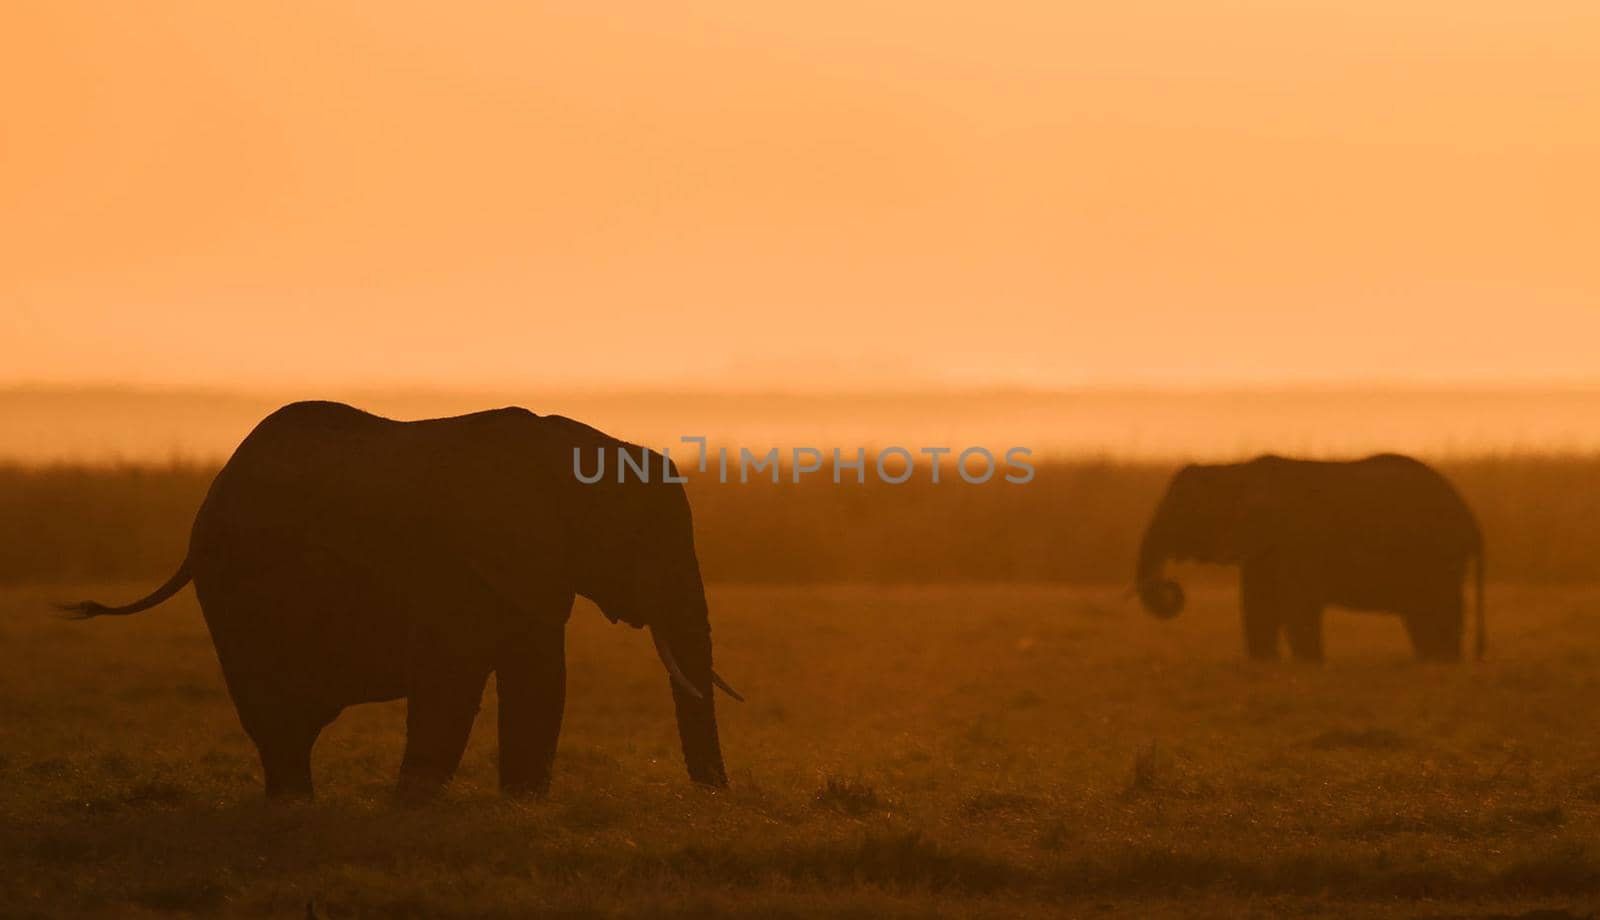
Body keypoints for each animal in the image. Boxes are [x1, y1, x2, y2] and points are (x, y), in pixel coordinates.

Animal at [62, 403, 736, 800]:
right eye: (641, 542)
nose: (715, 801)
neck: (563, 449)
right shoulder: (458, 561)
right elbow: (453, 674)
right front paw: (416, 806)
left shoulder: (531, 571)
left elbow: (540, 675)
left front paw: (521, 805)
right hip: (237, 588)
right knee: (275, 708)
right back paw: (294, 806)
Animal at [1139, 454, 1484, 662]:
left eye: (1182, 514)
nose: (1171, 586)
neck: (1235, 469)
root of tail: (1468, 514)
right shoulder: (1262, 547)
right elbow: (1258, 605)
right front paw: (1267, 666)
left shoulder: (1295, 543)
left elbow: (1297, 607)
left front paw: (1308, 666)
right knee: (1423, 616)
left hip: (1436, 556)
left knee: (1437, 610)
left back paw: (1442, 664)